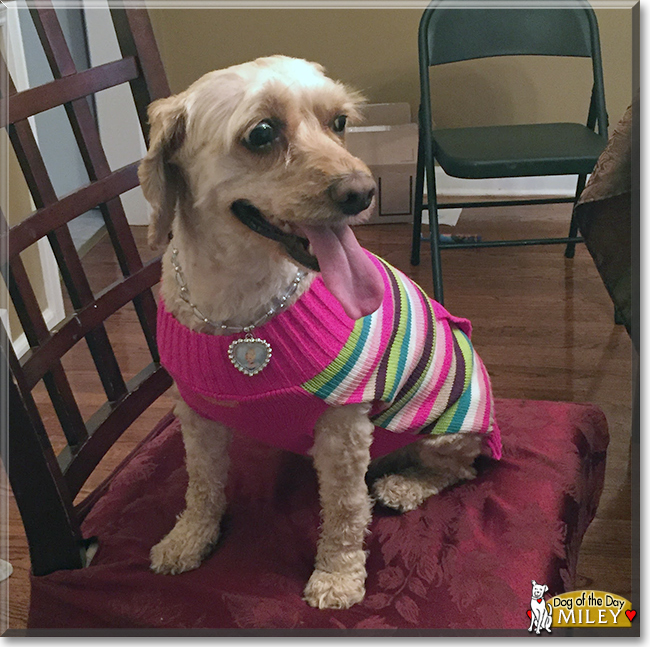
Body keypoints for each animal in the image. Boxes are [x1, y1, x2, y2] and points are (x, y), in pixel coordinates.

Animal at [138, 54, 502, 608]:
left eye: (340, 122)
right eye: (262, 133)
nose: (363, 193)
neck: (241, 307)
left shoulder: (343, 429)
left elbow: (347, 512)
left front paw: (337, 576)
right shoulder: (196, 413)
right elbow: (201, 485)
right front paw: (189, 538)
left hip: (448, 430)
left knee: (458, 470)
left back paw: (404, 486)